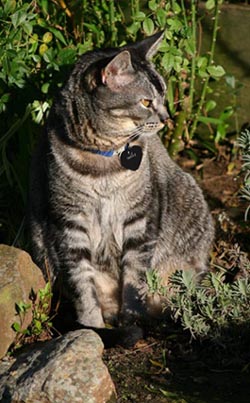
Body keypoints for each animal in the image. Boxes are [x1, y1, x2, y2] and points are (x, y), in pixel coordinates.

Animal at [28, 31, 213, 342]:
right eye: (146, 102)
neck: (105, 161)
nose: (166, 118)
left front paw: (132, 316)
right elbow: (82, 283)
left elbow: (134, 279)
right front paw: (91, 325)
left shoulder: (140, 219)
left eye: (163, 95)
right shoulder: (70, 223)